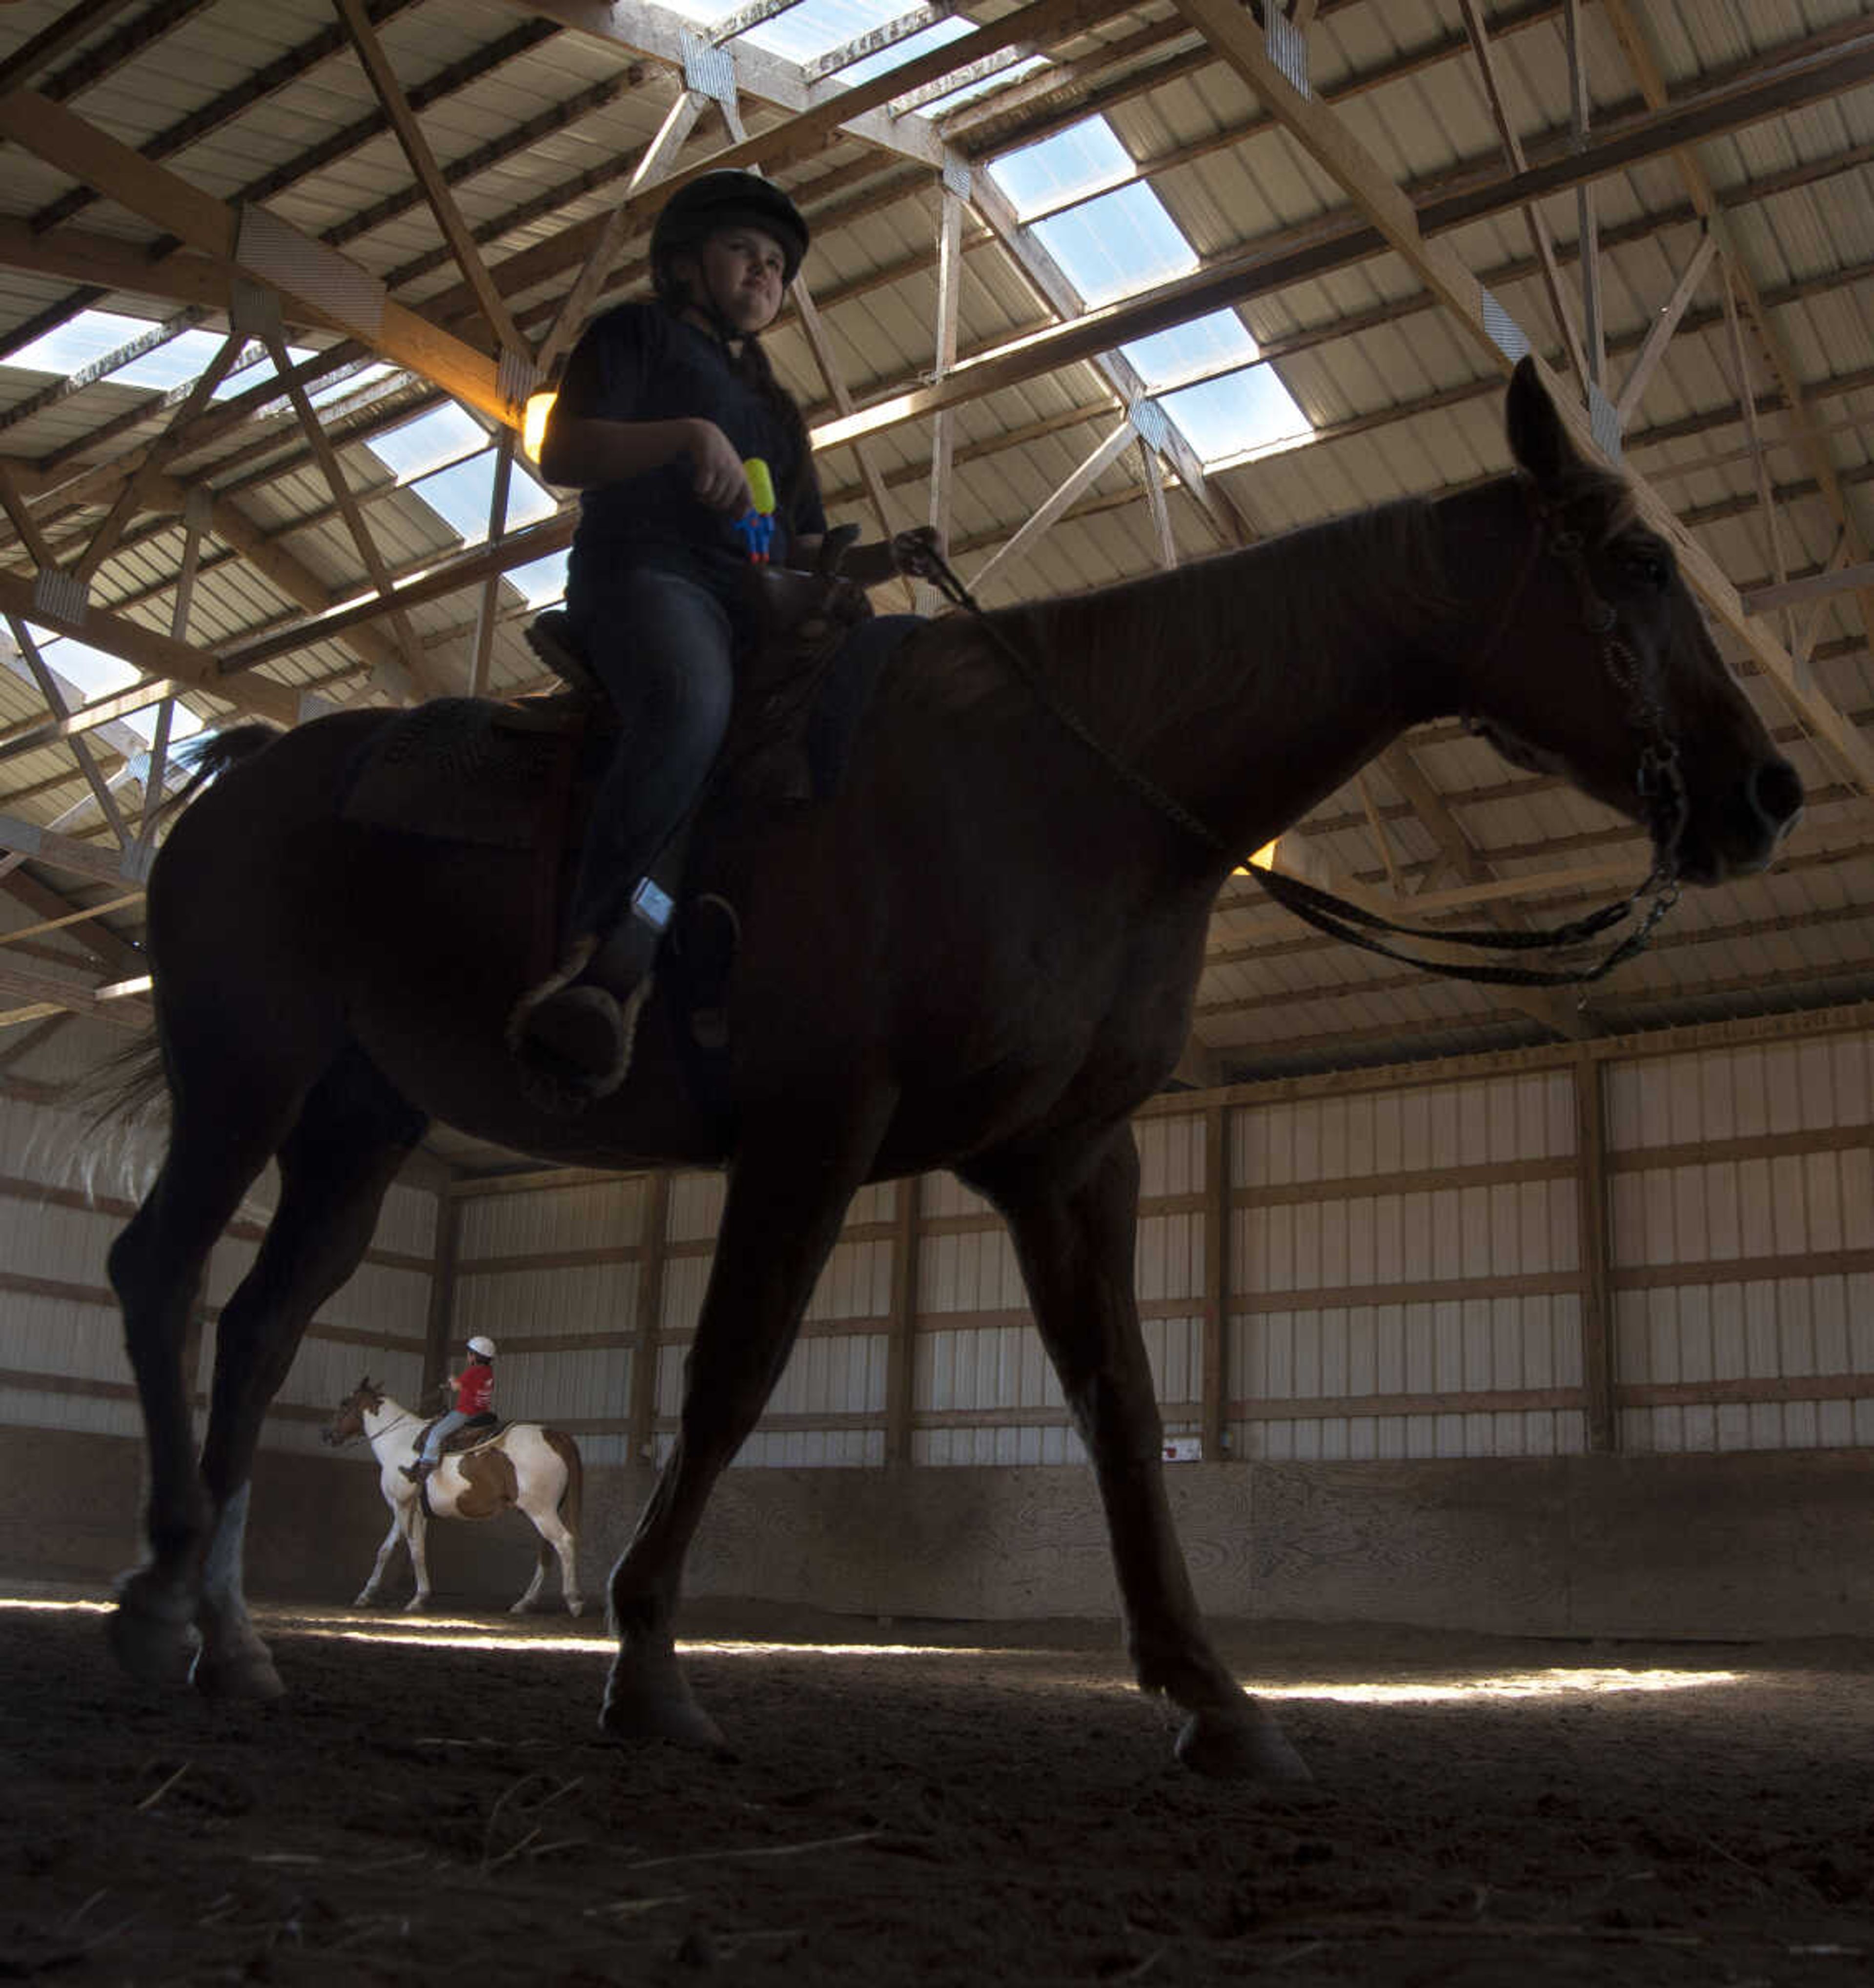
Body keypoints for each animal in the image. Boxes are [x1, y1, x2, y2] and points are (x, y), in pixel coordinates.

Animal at [322, 1383, 584, 1614]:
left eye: (344, 1403)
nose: (328, 1435)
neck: (398, 1441)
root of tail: (555, 1435)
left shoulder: (406, 1508)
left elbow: (416, 1549)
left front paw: (419, 1598)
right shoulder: (403, 1507)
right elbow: (386, 1550)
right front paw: (366, 1595)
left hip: (541, 1511)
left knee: (564, 1542)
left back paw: (573, 1601)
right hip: (545, 1511)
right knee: (547, 1550)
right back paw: (525, 1603)